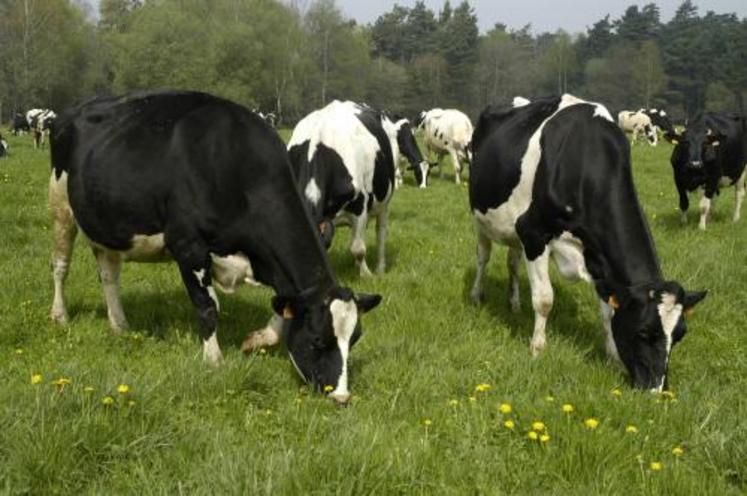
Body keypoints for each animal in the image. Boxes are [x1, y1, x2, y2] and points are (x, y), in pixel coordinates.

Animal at [49, 90, 382, 404]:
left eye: (354, 339)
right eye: (317, 340)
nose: (341, 396)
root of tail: (76, 108)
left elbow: (281, 309)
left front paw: (257, 339)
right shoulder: (189, 246)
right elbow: (208, 307)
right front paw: (214, 361)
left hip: (106, 225)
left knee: (109, 276)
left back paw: (119, 325)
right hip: (61, 208)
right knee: (60, 266)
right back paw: (60, 315)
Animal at [290, 100, 400, 280]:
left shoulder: (360, 206)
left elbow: (358, 248)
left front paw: (366, 275)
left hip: (385, 201)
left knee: (380, 232)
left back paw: (380, 268)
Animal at [470, 94, 712, 392]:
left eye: (680, 335)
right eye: (643, 332)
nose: (656, 390)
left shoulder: (598, 257)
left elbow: (608, 312)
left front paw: (612, 358)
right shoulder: (533, 232)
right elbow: (544, 299)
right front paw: (537, 349)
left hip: (512, 229)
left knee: (512, 263)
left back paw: (514, 304)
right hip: (482, 219)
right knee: (483, 257)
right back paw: (476, 295)